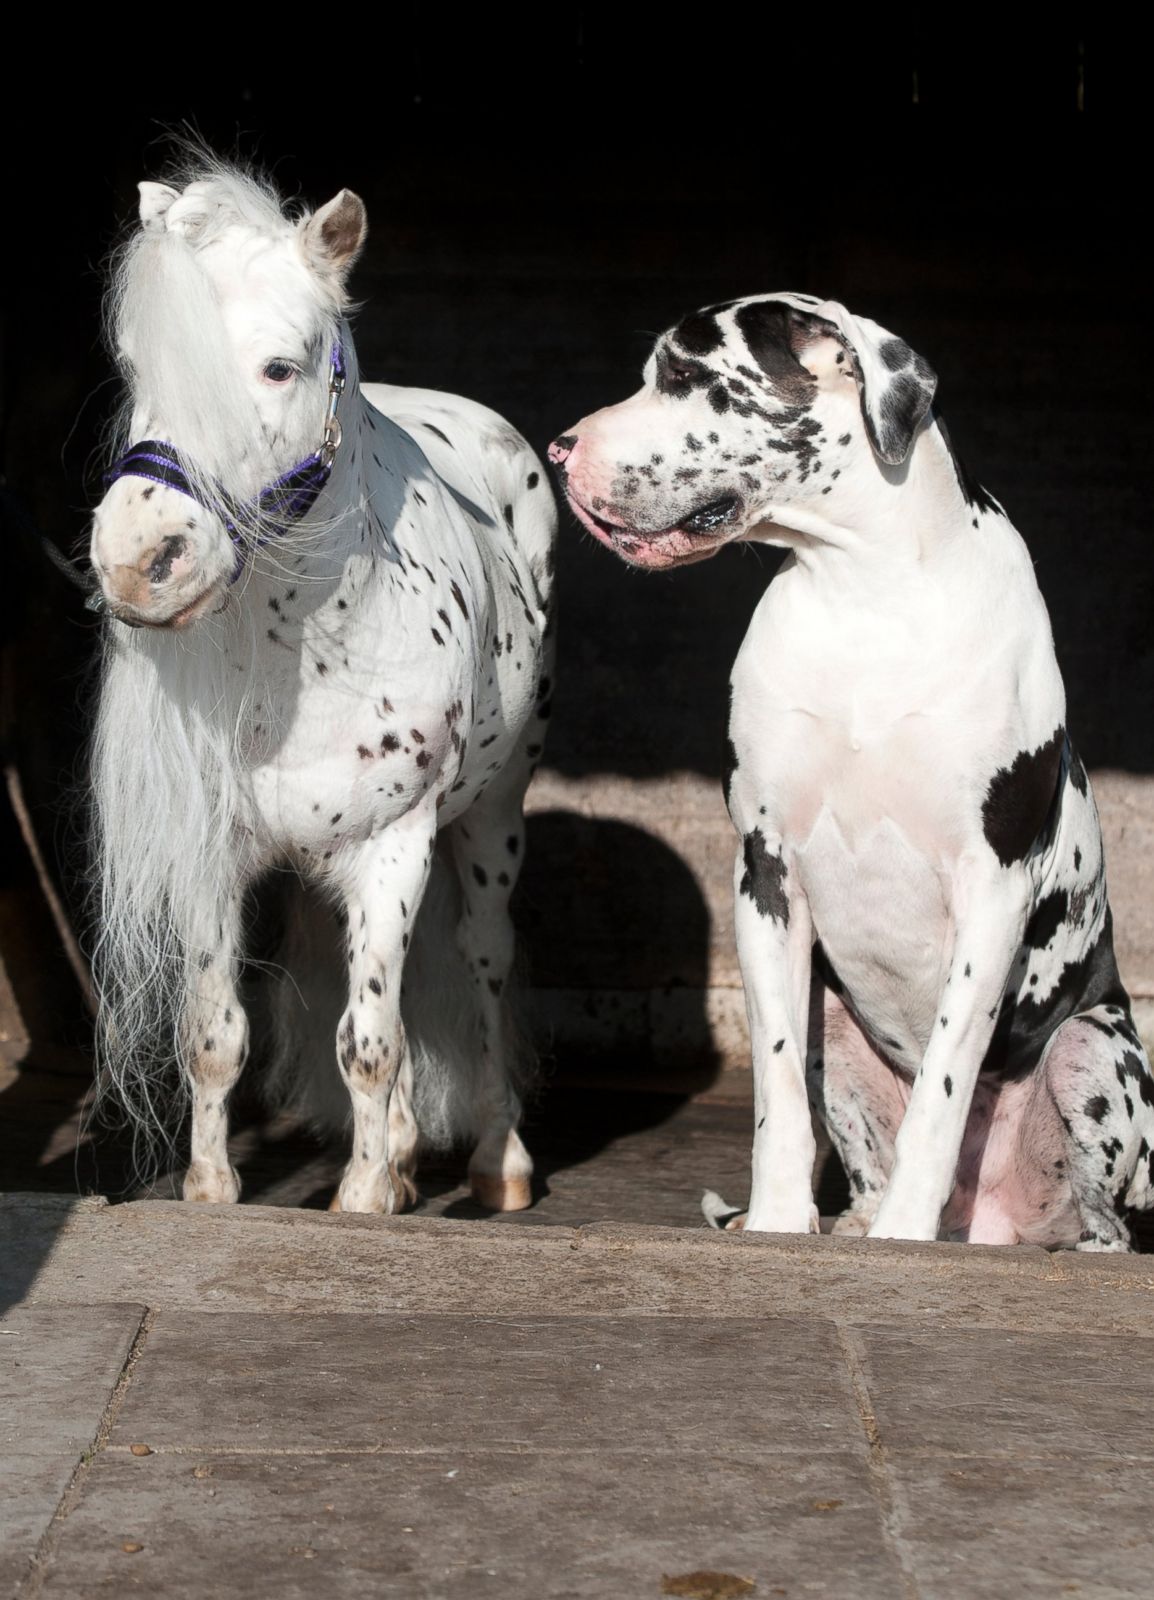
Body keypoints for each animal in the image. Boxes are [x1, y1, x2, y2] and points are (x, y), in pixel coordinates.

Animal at [547, 297, 1152, 1248]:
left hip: (1094, 1046)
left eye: (685, 375)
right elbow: (775, 1086)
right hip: (836, 1021)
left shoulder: (993, 885)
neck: (867, 591)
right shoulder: (764, 872)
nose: (559, 449)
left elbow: (945, 1081)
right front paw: (778, 1219)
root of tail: (990, 1223)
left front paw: (904, 1234)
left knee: (1106, 1220)